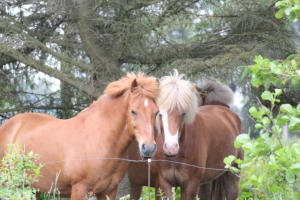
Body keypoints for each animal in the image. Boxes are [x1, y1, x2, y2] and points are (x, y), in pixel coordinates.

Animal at [0, 72, 161, 199]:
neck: (101, 139)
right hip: (9, 184)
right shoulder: (80, 189)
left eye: (156, 112)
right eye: (133, 111)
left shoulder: (109, 191)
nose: (148, 148)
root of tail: (7, 126)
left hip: (33, 188)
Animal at [127, 69, 241, 199]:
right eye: (159, 113)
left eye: (183, 113)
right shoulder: (163, 183)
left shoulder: (190, 185)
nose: (171, 148)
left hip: (232, 176)